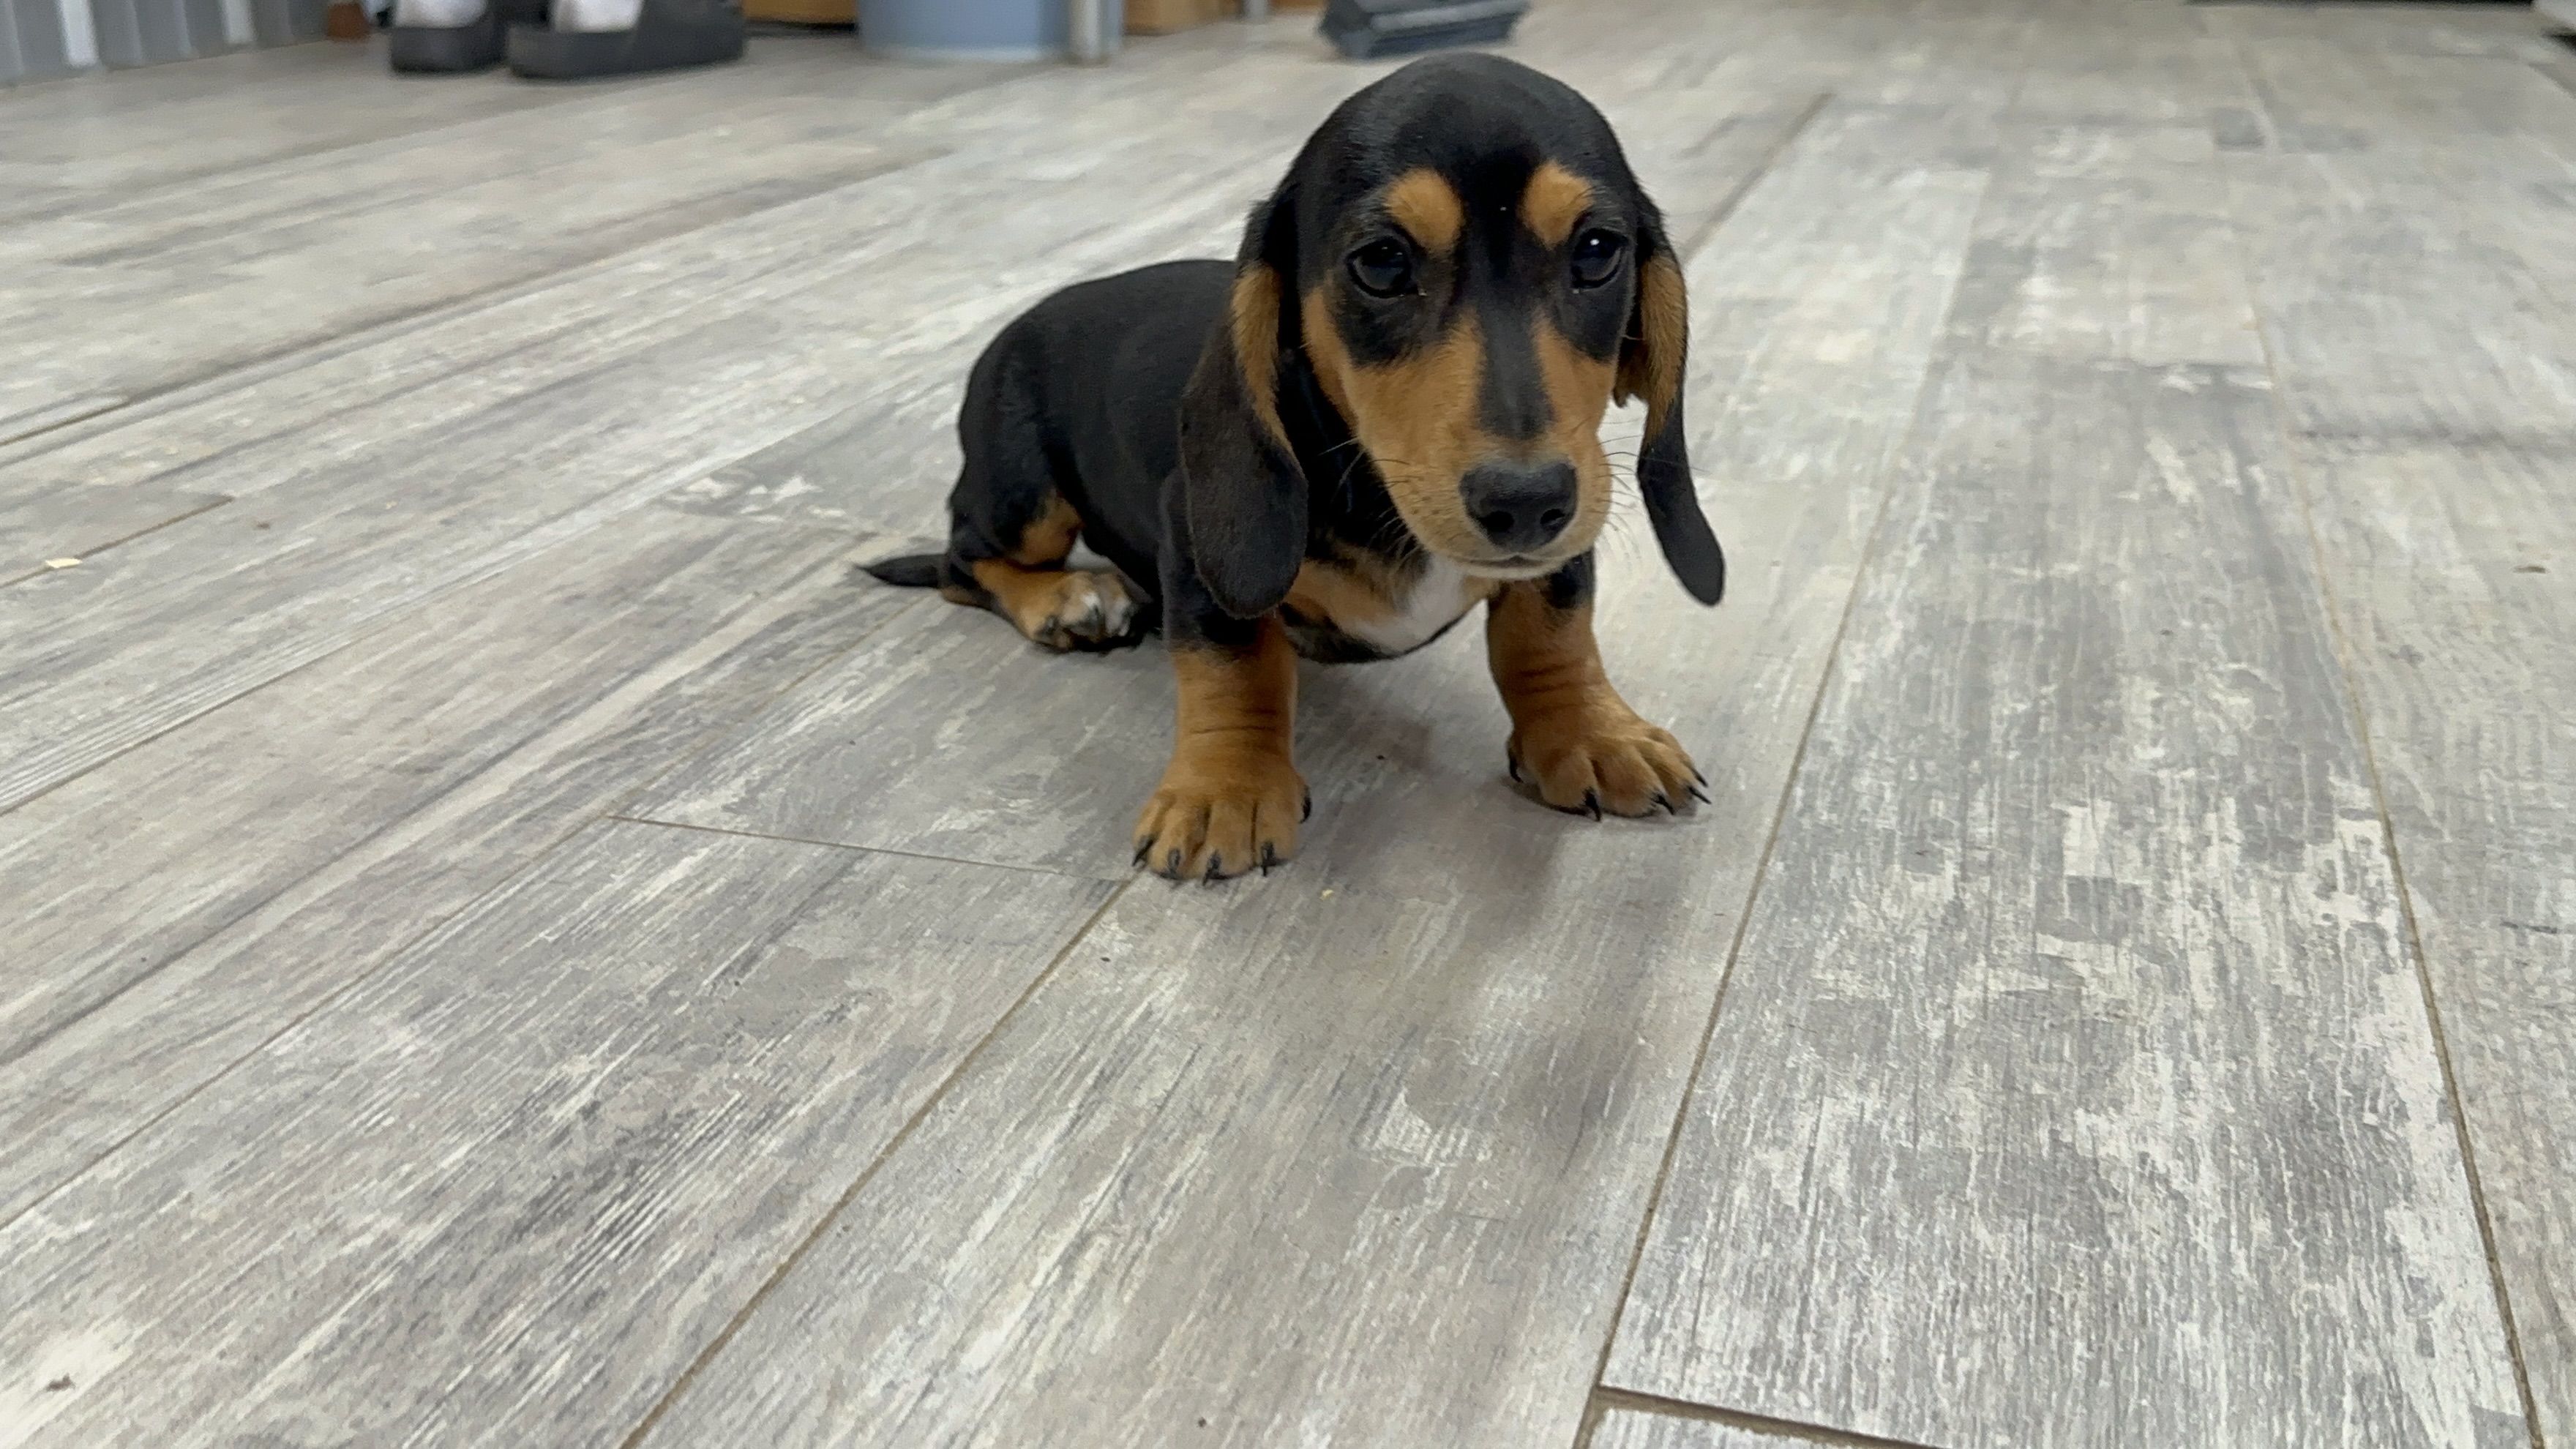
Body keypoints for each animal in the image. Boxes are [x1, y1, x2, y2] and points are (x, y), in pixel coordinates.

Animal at [867, 51, 1724, 882]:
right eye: (1381, 263)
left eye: (1597, 251)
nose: (1525, 503)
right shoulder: (1191, 534)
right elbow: (1235, 660)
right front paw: (1227, 788)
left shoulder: (1568, 528)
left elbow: (1552, 630)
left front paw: (1591, 730)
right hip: (1025, 496)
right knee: (965, 562)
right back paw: (1069, 598)